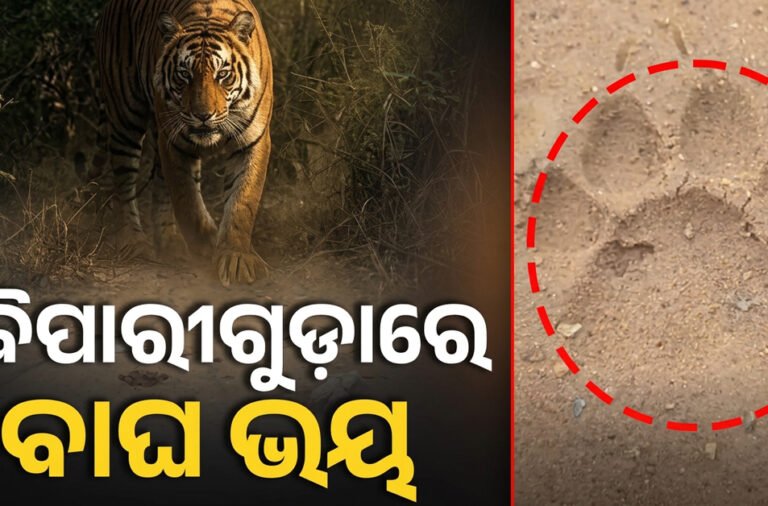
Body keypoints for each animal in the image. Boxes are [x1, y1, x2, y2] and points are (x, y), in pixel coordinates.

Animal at [90, 0, 273, 286]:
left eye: (223, 74)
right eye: (184, 74)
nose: (203, 115)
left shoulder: (253, 141)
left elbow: (242, 201)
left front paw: (236, 257)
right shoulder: (173, 141)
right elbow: (186, 201)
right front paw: (207, 243)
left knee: (159, 187)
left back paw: (171, 243)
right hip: (125, 113)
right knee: (124, 181)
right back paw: (134, 241)